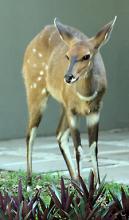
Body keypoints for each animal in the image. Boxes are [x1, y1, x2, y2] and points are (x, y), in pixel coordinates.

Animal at [22, 16, 116, 187]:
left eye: (86, 56)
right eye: (67, 55)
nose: (68, 77)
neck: (86, 97)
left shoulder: (95, 111)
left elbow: (94, 148)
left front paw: (97, 187)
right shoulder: (73, 111)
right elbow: (78, 149)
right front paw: (84, 191)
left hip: (62, 105)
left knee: (59, 134)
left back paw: (75, 180)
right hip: (35, 90)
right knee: (30, 134)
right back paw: (29, 183)